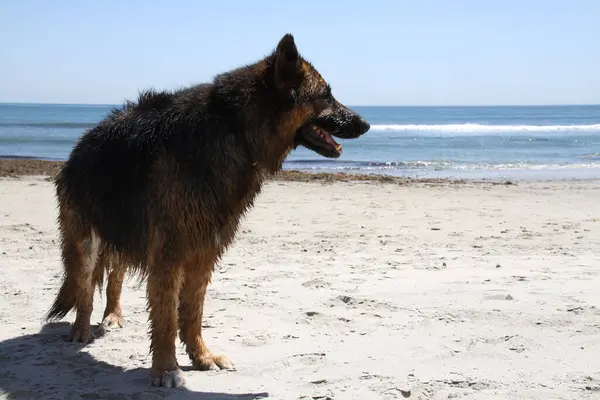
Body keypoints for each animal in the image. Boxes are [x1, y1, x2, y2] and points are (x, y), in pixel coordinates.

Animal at [45, 33, 370, 388]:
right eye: (326, 95)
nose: (366, 124)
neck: (237, 130)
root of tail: (81, 144)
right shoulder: (169, 255)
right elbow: (166, 319)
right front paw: (166, 368)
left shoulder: (203, 251)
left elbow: (192, 312)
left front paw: (201, 356)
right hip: (86, 241)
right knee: (85, 283)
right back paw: (81, 328)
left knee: (114, 274)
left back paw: (113, 315)